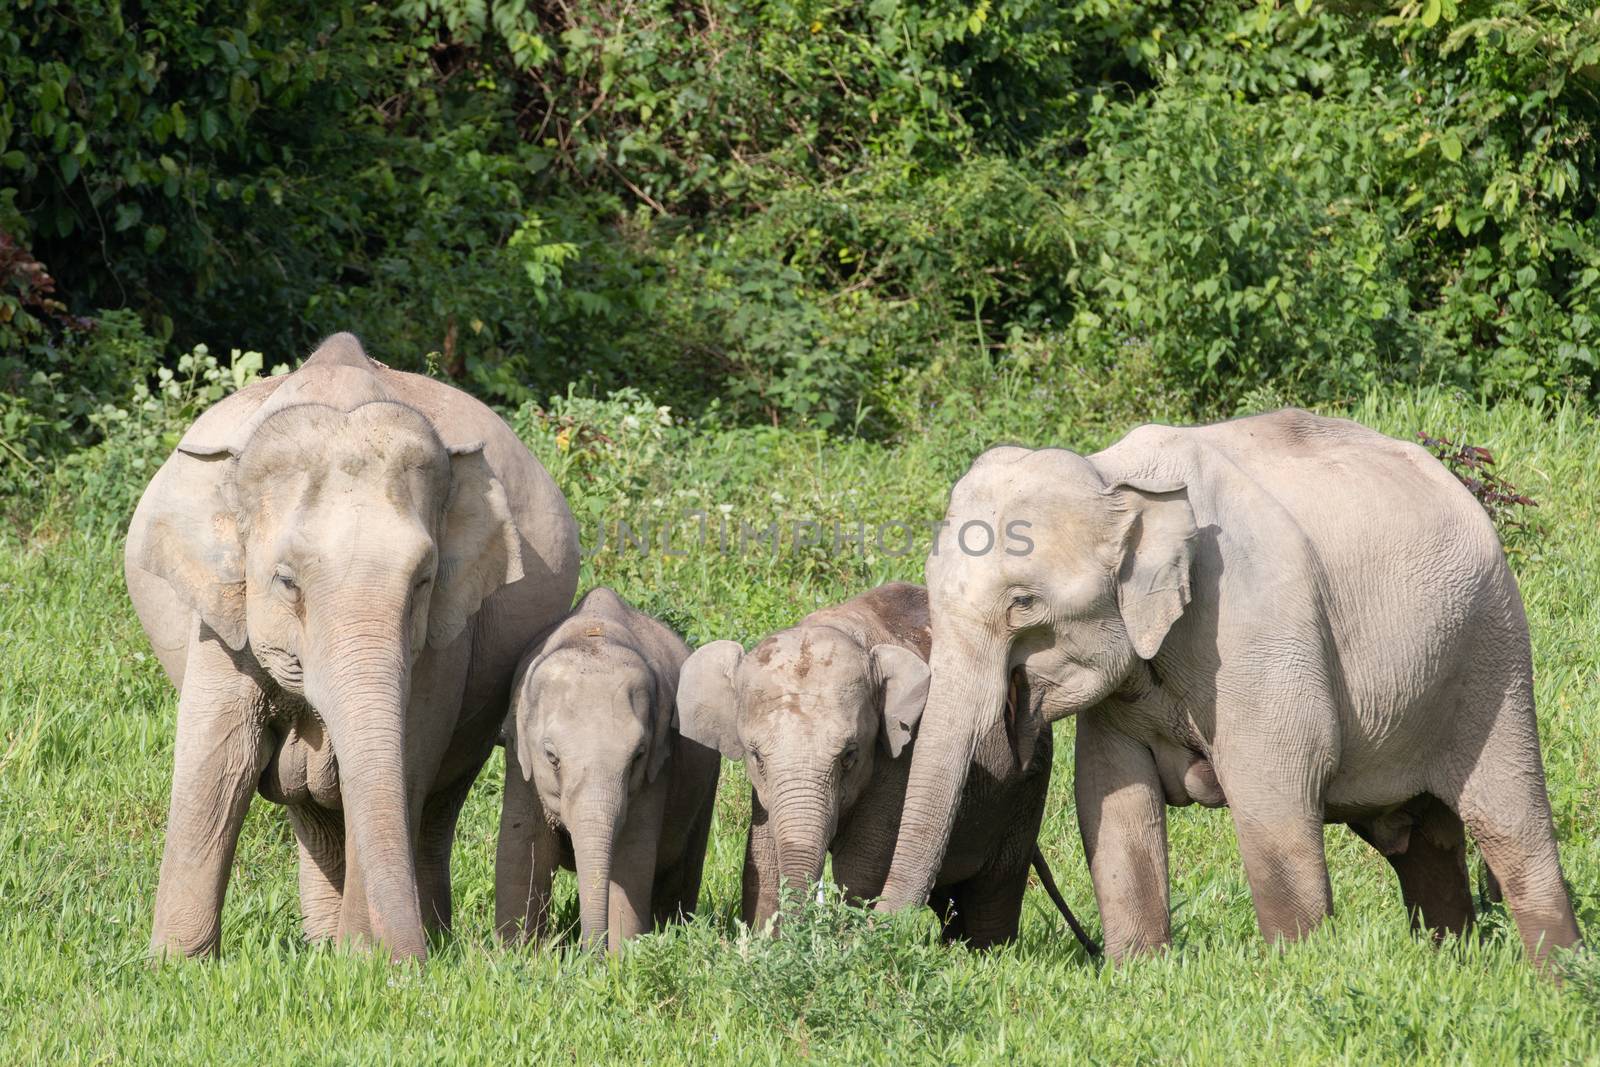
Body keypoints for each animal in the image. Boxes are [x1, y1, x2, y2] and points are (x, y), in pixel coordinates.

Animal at [126, 331, 576, 959]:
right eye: (286, 581)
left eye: (424, 581)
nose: (410, 963)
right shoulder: (220, 619)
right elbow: (220, 759)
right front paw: (176, 966)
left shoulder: (445, 638)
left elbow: (405, 764)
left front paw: (363, 962)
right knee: (308, 805)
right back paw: (324, 943)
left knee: (432, 803)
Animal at [499, 591, 720, 953]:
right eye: (552, 758)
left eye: (637, 756)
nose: (591, 955)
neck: (594, 635)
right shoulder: (520, 762)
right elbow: (522, 847)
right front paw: (515, 954)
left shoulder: (658, 766)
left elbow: (631, 857)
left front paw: (621, 958)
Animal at [681, 585, 1094, 953]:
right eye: (756, 757)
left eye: (849, 756)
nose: (799, 940)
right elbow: (763, 859)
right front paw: (767, 945)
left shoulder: (900, 757)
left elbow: (862, 863)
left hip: (1028, 782)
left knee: (994, 889)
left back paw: (984, 954)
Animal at [883, 412, 1580, 979]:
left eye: (1024, 603)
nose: (882, 939)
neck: (1116, 475)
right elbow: (1111, 797)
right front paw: (1139, 979)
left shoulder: (1253, 626)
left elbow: (1276, 790)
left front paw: (1297, 979)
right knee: (1422, 844)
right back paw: (1454, 966)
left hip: (1491, 654)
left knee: (1509, 823)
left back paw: (1555, 985)